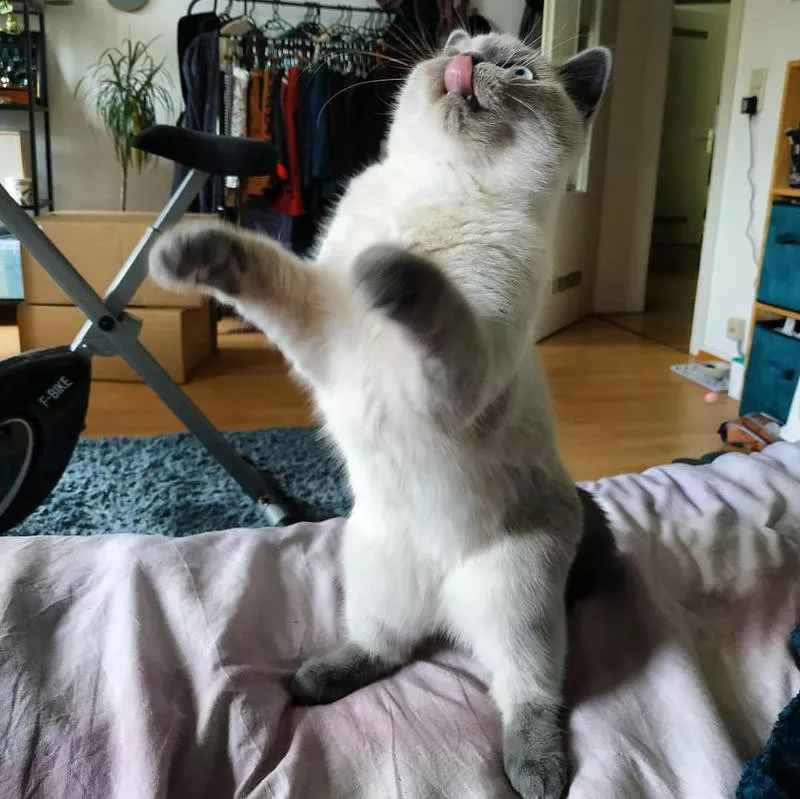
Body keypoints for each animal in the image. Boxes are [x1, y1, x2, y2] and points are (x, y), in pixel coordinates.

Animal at [150, 29, 612, 799]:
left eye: (517, 72)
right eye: (468, 55)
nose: (468, 65)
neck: (446, 188)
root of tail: (444, 607)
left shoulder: (457, 380)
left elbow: (435, 307)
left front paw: (391, 271)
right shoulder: (321, 332)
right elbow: (270, 270)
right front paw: (191, 250)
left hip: (516, 594)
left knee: (528, 688)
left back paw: (537, 772)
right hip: (368, 567)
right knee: (388, 646)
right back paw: (317, 679)